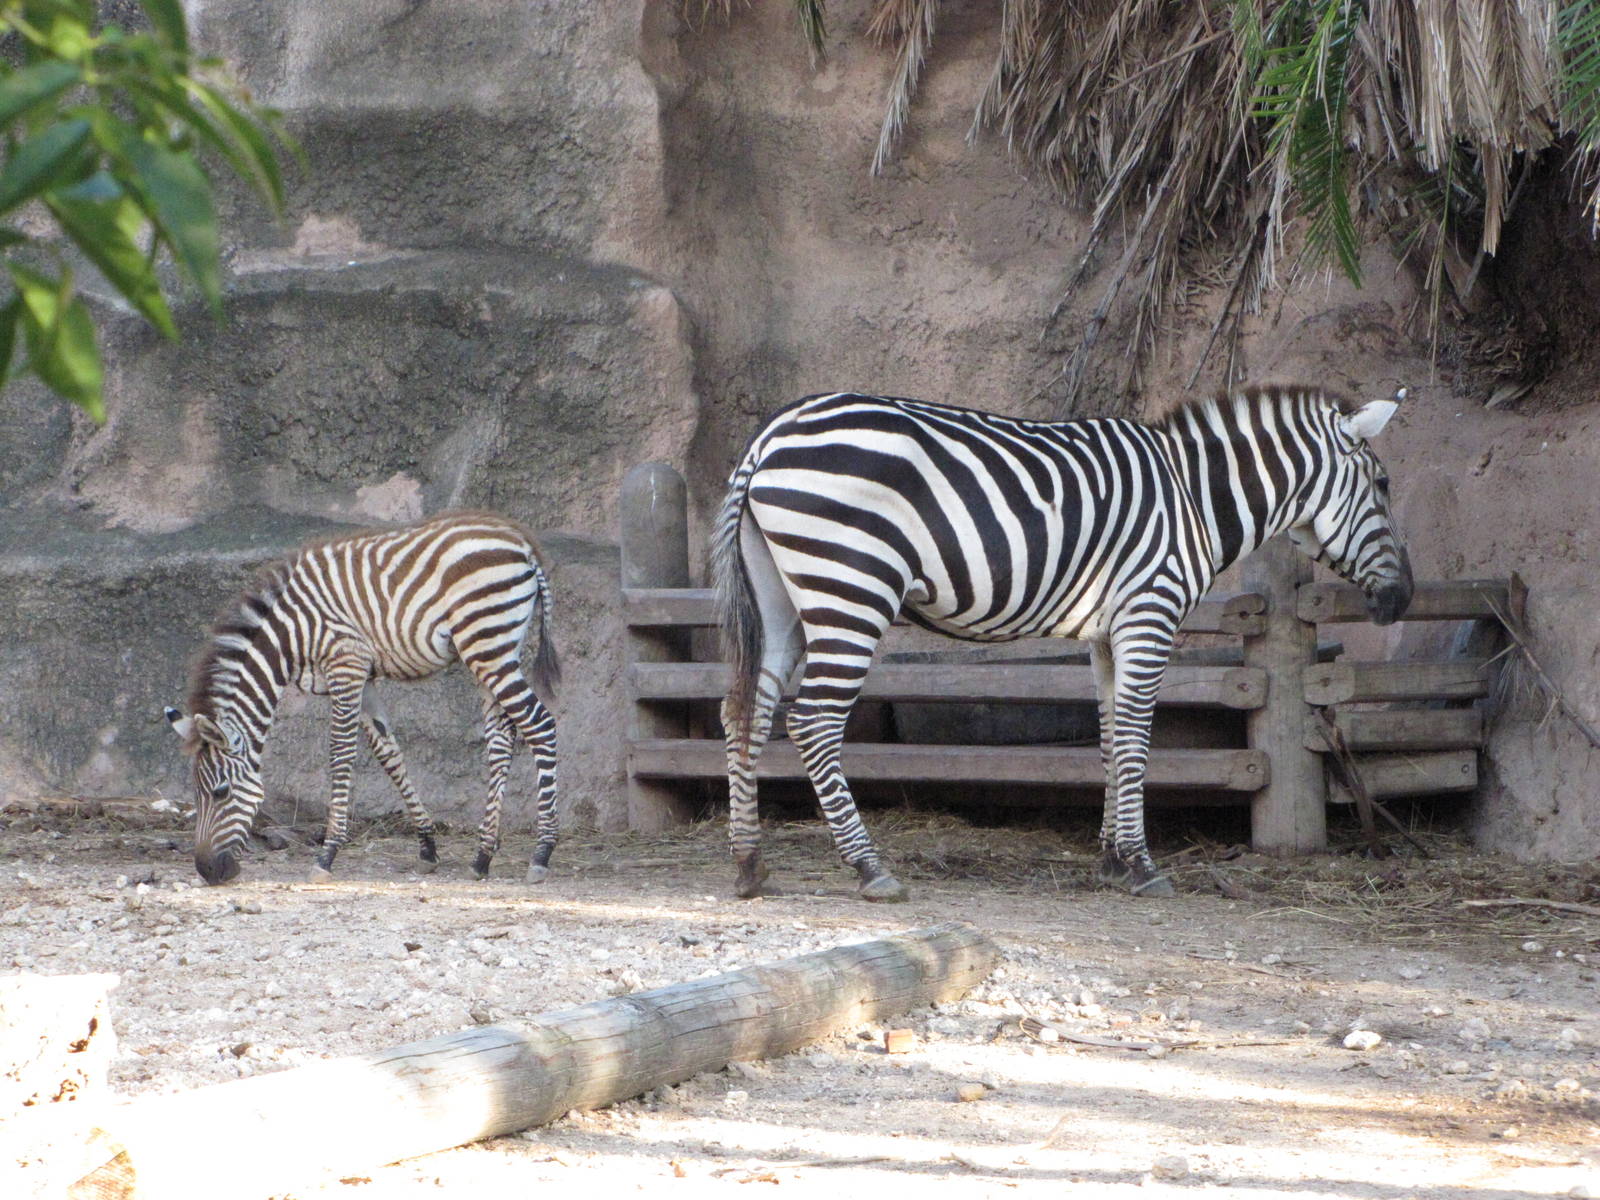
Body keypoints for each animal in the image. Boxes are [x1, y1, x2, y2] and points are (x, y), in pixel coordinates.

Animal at [163, 511, 560, 886]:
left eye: (220, 792)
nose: (207, 871)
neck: (289, 637)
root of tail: (520, 539)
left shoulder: (346, 666)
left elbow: (340, 755)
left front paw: (327, 855)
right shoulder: (364, 677)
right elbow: (389, 754)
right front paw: (427, 846)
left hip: (486, 643)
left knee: (539, 723)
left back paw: (542, 853)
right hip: (491, 650)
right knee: (502, 736)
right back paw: (482, 856)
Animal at [713, 384, 1413, 901]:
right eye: (1382, 484)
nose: (1402, 600)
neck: (1193, 498)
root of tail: (771, 434)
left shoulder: (1107, 633)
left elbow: (1109, 737)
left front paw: (1110, 859)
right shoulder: (1149, 613)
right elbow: (1136, 739)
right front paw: (1141, 865)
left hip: (784, 598)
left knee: (745, 711)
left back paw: (749, 864)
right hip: (852, 587)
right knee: (813, 720)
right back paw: (868, 867)